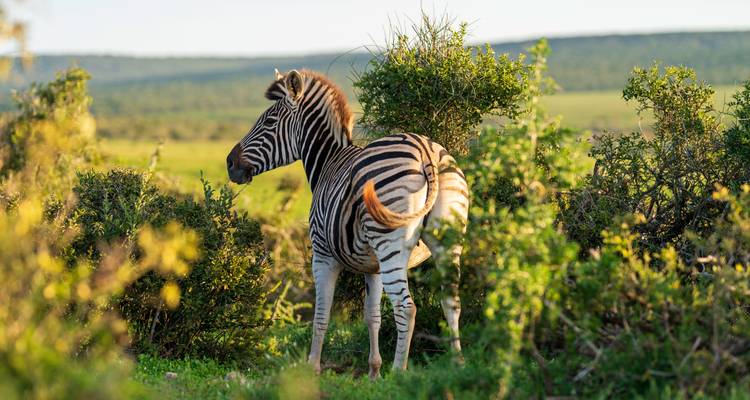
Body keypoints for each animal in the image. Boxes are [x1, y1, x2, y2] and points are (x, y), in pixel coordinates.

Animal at [226, 69, 469, 378]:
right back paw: (457, 363)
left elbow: (321, 314)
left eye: (269, 122)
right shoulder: (373, 266)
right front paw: (373, 372)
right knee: (451, 302)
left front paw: (313, 367)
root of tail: (425, 149)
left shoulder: (322, 254)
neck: (328, 162)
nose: (229, 163)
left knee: (406, 307)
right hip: (447, 240)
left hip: (390, 242)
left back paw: (399, 372)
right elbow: (372, 315)